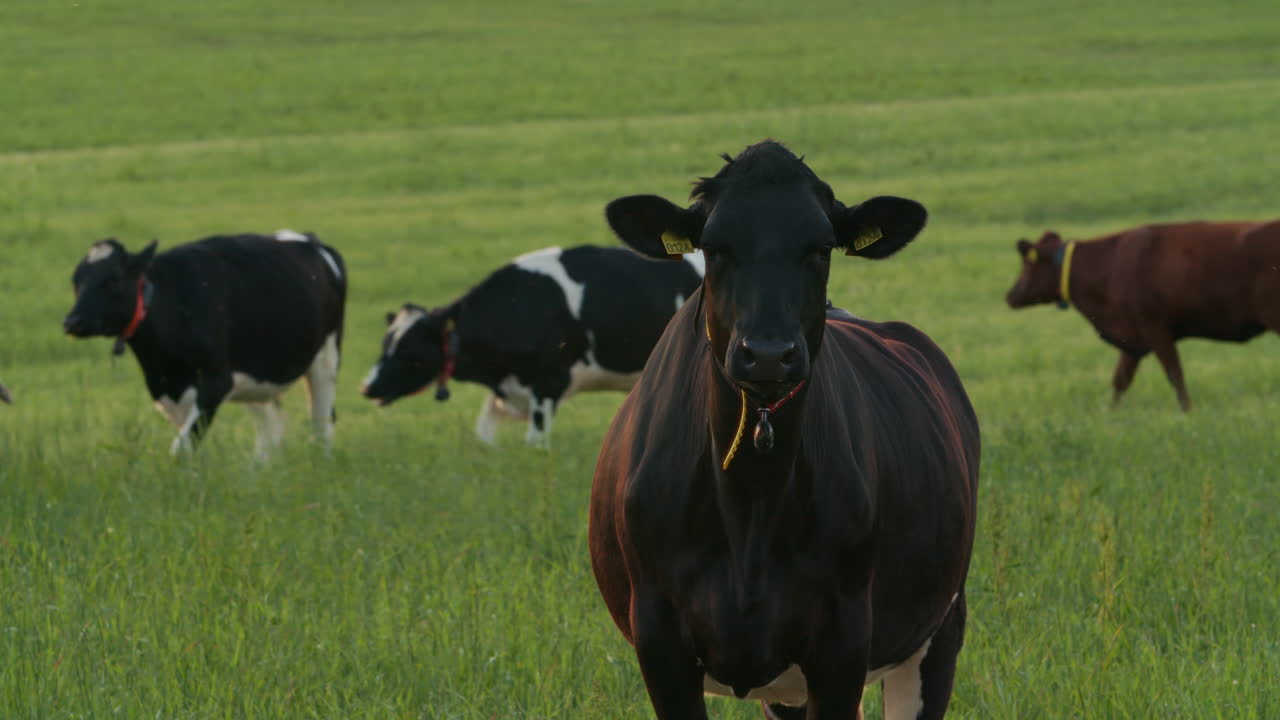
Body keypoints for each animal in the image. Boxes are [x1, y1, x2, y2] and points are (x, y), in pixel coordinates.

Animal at [63, 230, 346, 457]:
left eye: (113, 278)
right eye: (76, 281)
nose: (72, 322)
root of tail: (309, 239)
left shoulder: (216, 380)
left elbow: (181, 448)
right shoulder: (167, 391)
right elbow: (186, 443)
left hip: (326, 358)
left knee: (322, 422)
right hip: (256, 375)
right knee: (271, 427)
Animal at [360, 245, 704, 448]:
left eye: (408, 350)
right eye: (386, 341)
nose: (366, 387)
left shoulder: (549, 383)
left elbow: (535, 443)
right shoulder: (507, 392)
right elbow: (484, 437)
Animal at [589, 141, 981, 720]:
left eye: (821, 247)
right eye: (713, 247)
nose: (769, 353)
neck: (751, 504)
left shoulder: (844, 635)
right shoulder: (657, 633)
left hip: (940, 628)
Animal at [1005, 222, 1280, 410]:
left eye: (1026, 264)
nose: (1010, 295)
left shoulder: (1154, 327)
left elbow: (1175, 374)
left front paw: (1187, 411)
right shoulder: (1132, 338)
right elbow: (1120, 381)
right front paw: (1111, 414)